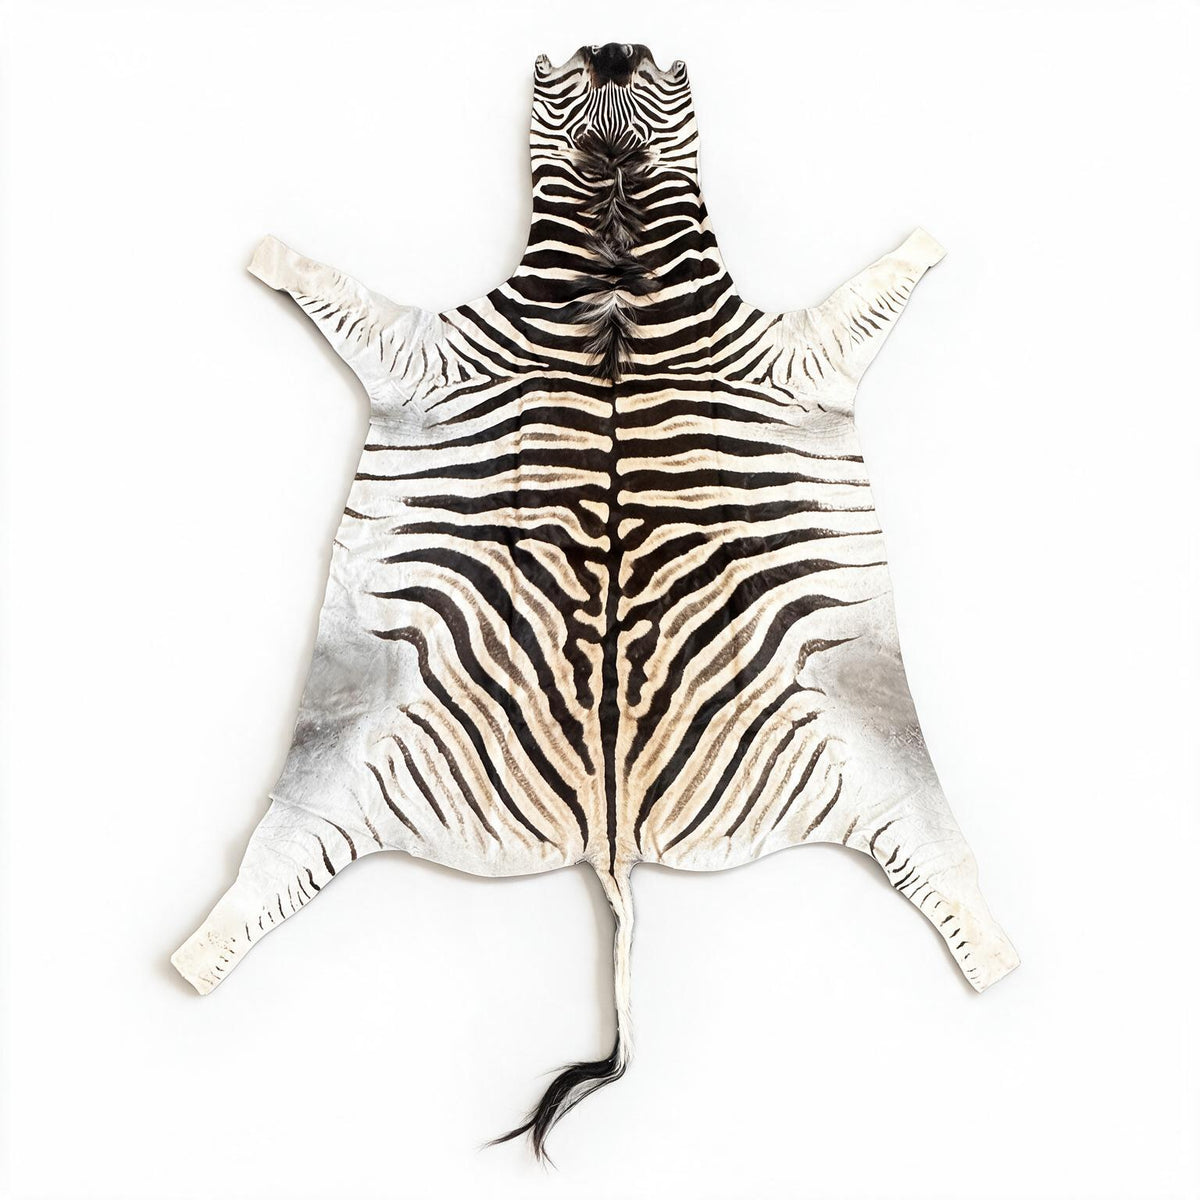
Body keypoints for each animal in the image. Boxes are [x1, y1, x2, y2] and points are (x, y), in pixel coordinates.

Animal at [172, 41, 1018, 1159]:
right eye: (570, 74)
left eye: (662, 71)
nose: (613, 46)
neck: (615, 254)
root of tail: (611, 842)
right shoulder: (425, 351)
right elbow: (333, 287)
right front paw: (271, 250)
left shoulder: (804, 351)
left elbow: (884, 278)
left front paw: (927, 238)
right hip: (345, 773)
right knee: (266, 884)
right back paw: (190, 960)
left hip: (876, 762)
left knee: (944, 872)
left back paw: (1001, 964)